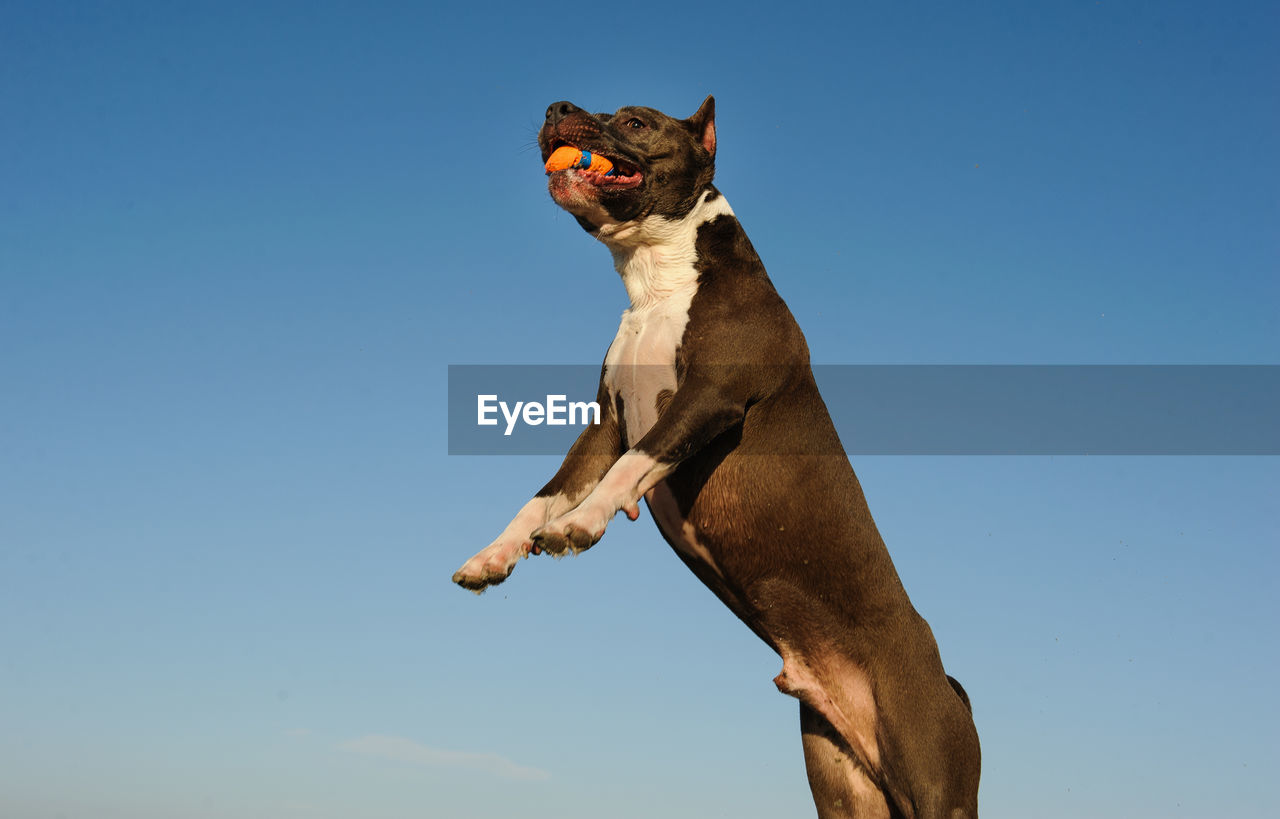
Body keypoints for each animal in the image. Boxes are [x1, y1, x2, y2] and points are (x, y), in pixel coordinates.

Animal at [450, 97, 977, 819]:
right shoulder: (605, 425)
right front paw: (492, 557)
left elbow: (632, 467)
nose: (557, 107)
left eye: (636, 122)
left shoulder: (707, 400)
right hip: (844, 785)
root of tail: (949, 681)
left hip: (934, 782)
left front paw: (579, 525)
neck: (657, 277)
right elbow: (541, 495)